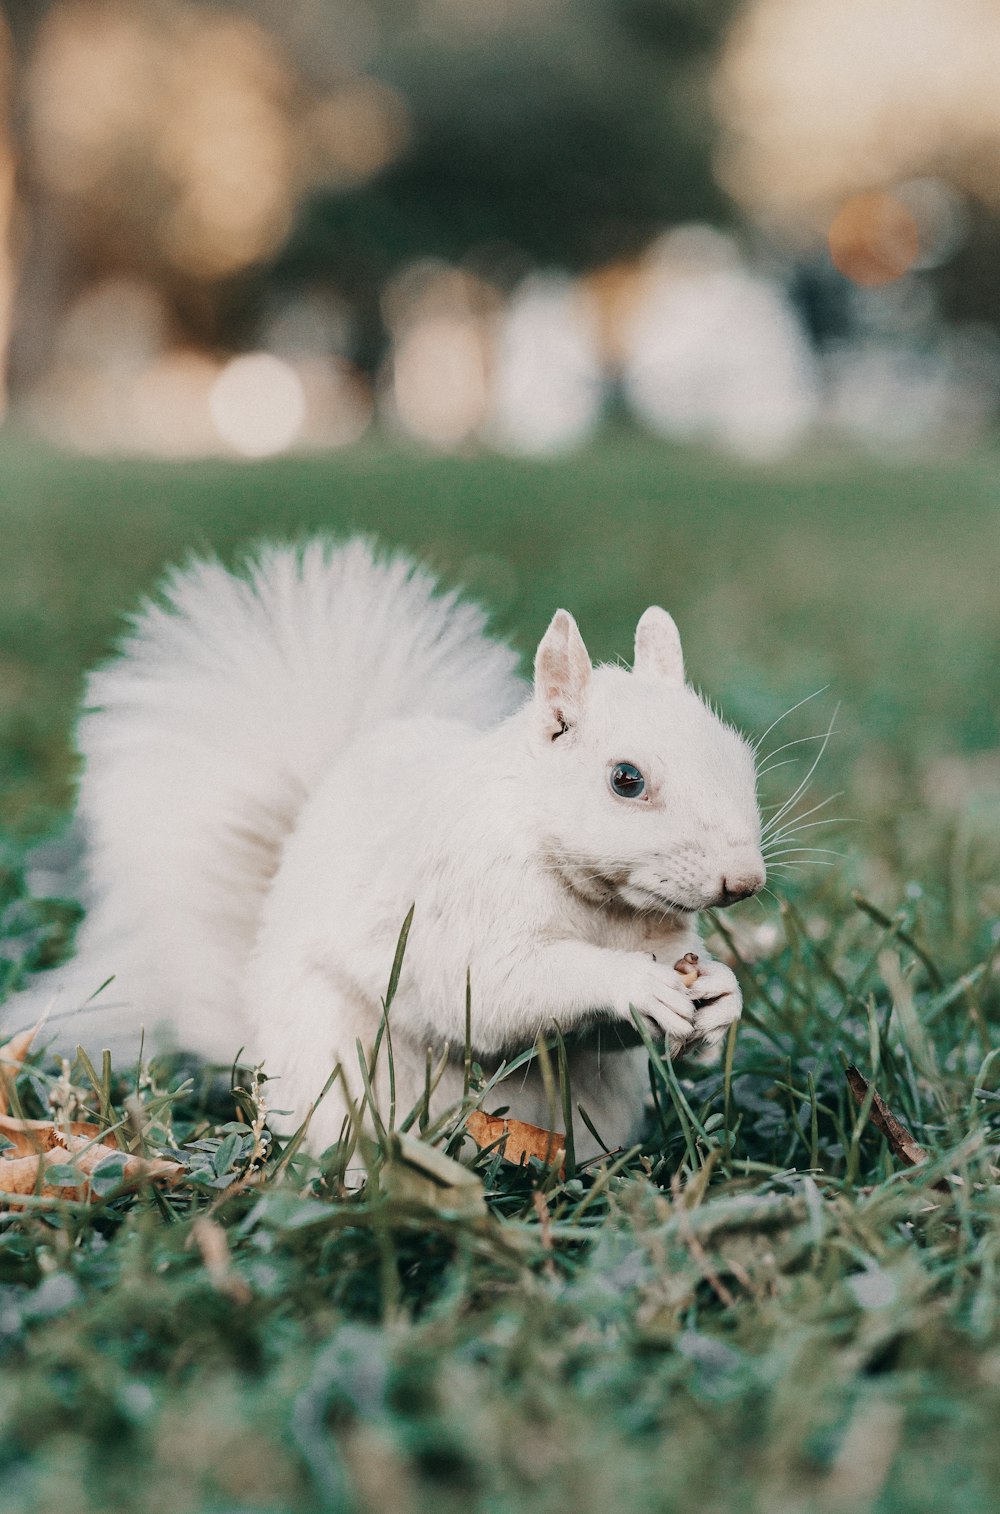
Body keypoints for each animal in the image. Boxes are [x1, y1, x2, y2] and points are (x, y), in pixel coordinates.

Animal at [7, 542, 759, 1156]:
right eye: (625, 780)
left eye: (741, 757)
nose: (744, 881)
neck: (603, 905)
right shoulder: (459, 906)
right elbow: (498, 989)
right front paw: (630, 984)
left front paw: (724, 994)